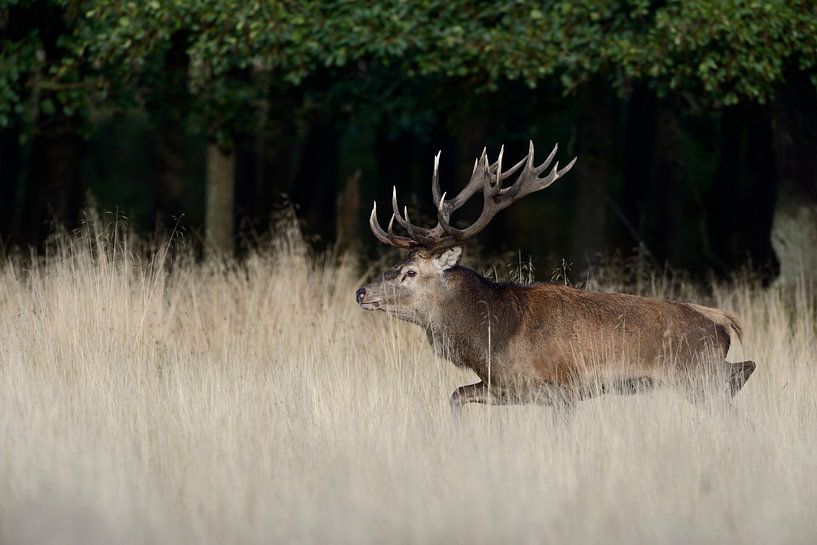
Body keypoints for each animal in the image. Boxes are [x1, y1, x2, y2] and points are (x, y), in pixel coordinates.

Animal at [355, 142, 756, 414]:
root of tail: (721, 322)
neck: (492, 335)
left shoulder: (562, 389)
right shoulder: (504, 386)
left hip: (699, 377)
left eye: (410, 272)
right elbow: (455, 395)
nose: (361, 292)